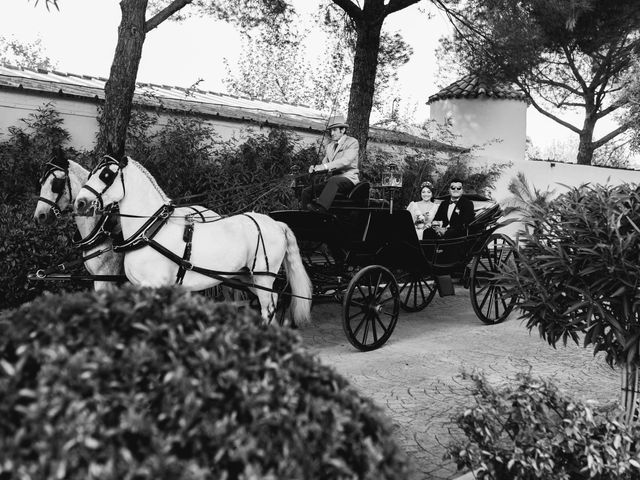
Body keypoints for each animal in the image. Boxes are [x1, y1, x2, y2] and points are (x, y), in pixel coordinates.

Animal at [73, 155, 312, 326]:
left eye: (106, 175)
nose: (80, 203)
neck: (150, 232)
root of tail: (276, 223)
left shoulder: (155, 285)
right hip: (248, 278)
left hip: (263, 277)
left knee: (268, 308)